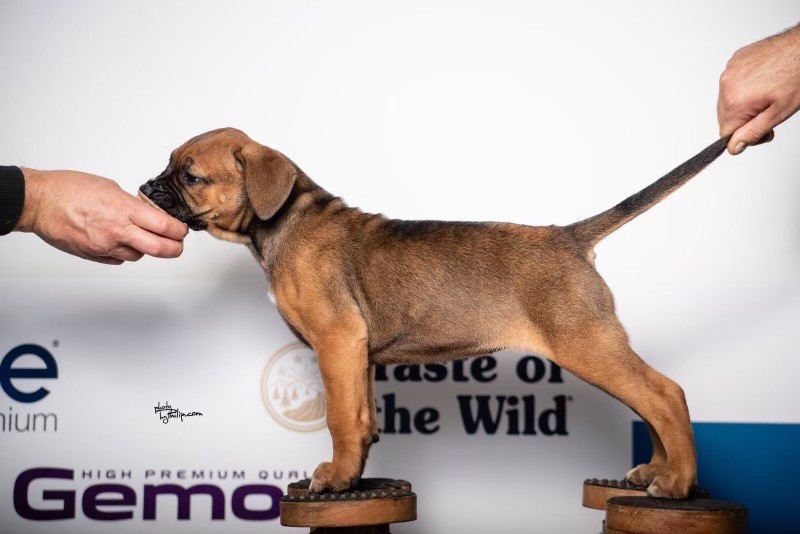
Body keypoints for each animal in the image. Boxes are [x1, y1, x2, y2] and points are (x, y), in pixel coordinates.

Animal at [139, 128, 729, 498]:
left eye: (189, 176)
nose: (144, 187)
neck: (282, 223)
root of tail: (568, 236)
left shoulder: (337, 339)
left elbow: (339, 418)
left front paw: (334, 479)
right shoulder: (357, 355)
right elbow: (363, 420)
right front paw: (353, 475)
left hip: (587, 344)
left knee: (665, 395)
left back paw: (677, 483)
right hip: (598, 345)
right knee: (652, 399)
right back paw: (656, 471)